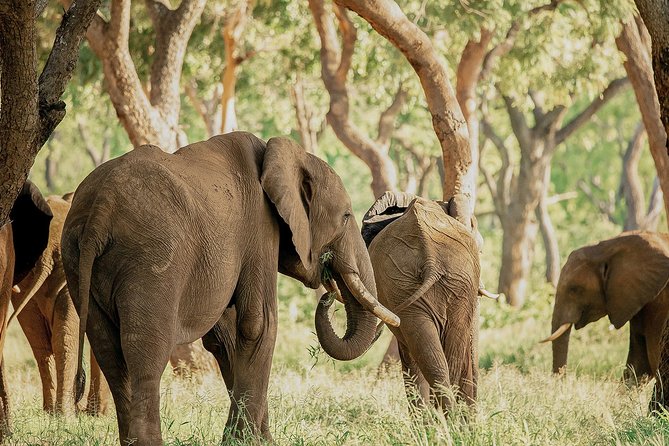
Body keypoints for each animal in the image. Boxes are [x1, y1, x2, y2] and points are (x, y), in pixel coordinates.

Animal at [11, 194, 110, 416]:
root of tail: (48, 252)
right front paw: (97, 415)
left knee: (41, 343)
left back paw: (54, 412)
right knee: (58, 339)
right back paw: (65, 415)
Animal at [61, 132, 399, 445]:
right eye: (346, 216)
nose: (329, 293)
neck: (282, 154)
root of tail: (100, 209)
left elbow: (224, 337)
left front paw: (259, 440)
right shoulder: (260, 227)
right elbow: (258, 324)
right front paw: (245, 441)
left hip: (76, 260)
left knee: (110, 354)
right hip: (150, 260)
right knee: (145, 354)